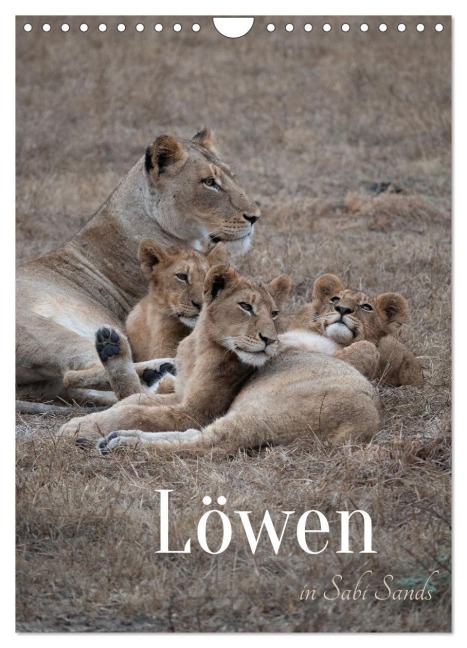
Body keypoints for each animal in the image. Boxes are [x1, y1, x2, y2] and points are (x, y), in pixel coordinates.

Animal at [58, 266, 380, 456]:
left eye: (274, 313)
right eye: (246, 306)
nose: (270, 340)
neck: (199, 346)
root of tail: (364, 427)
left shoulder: (196, 410)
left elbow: (136, 410)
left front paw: (76, 427)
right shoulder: (182, 396)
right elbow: (134, 401)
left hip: (263, 413)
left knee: (208, 443)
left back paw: (121, 443)